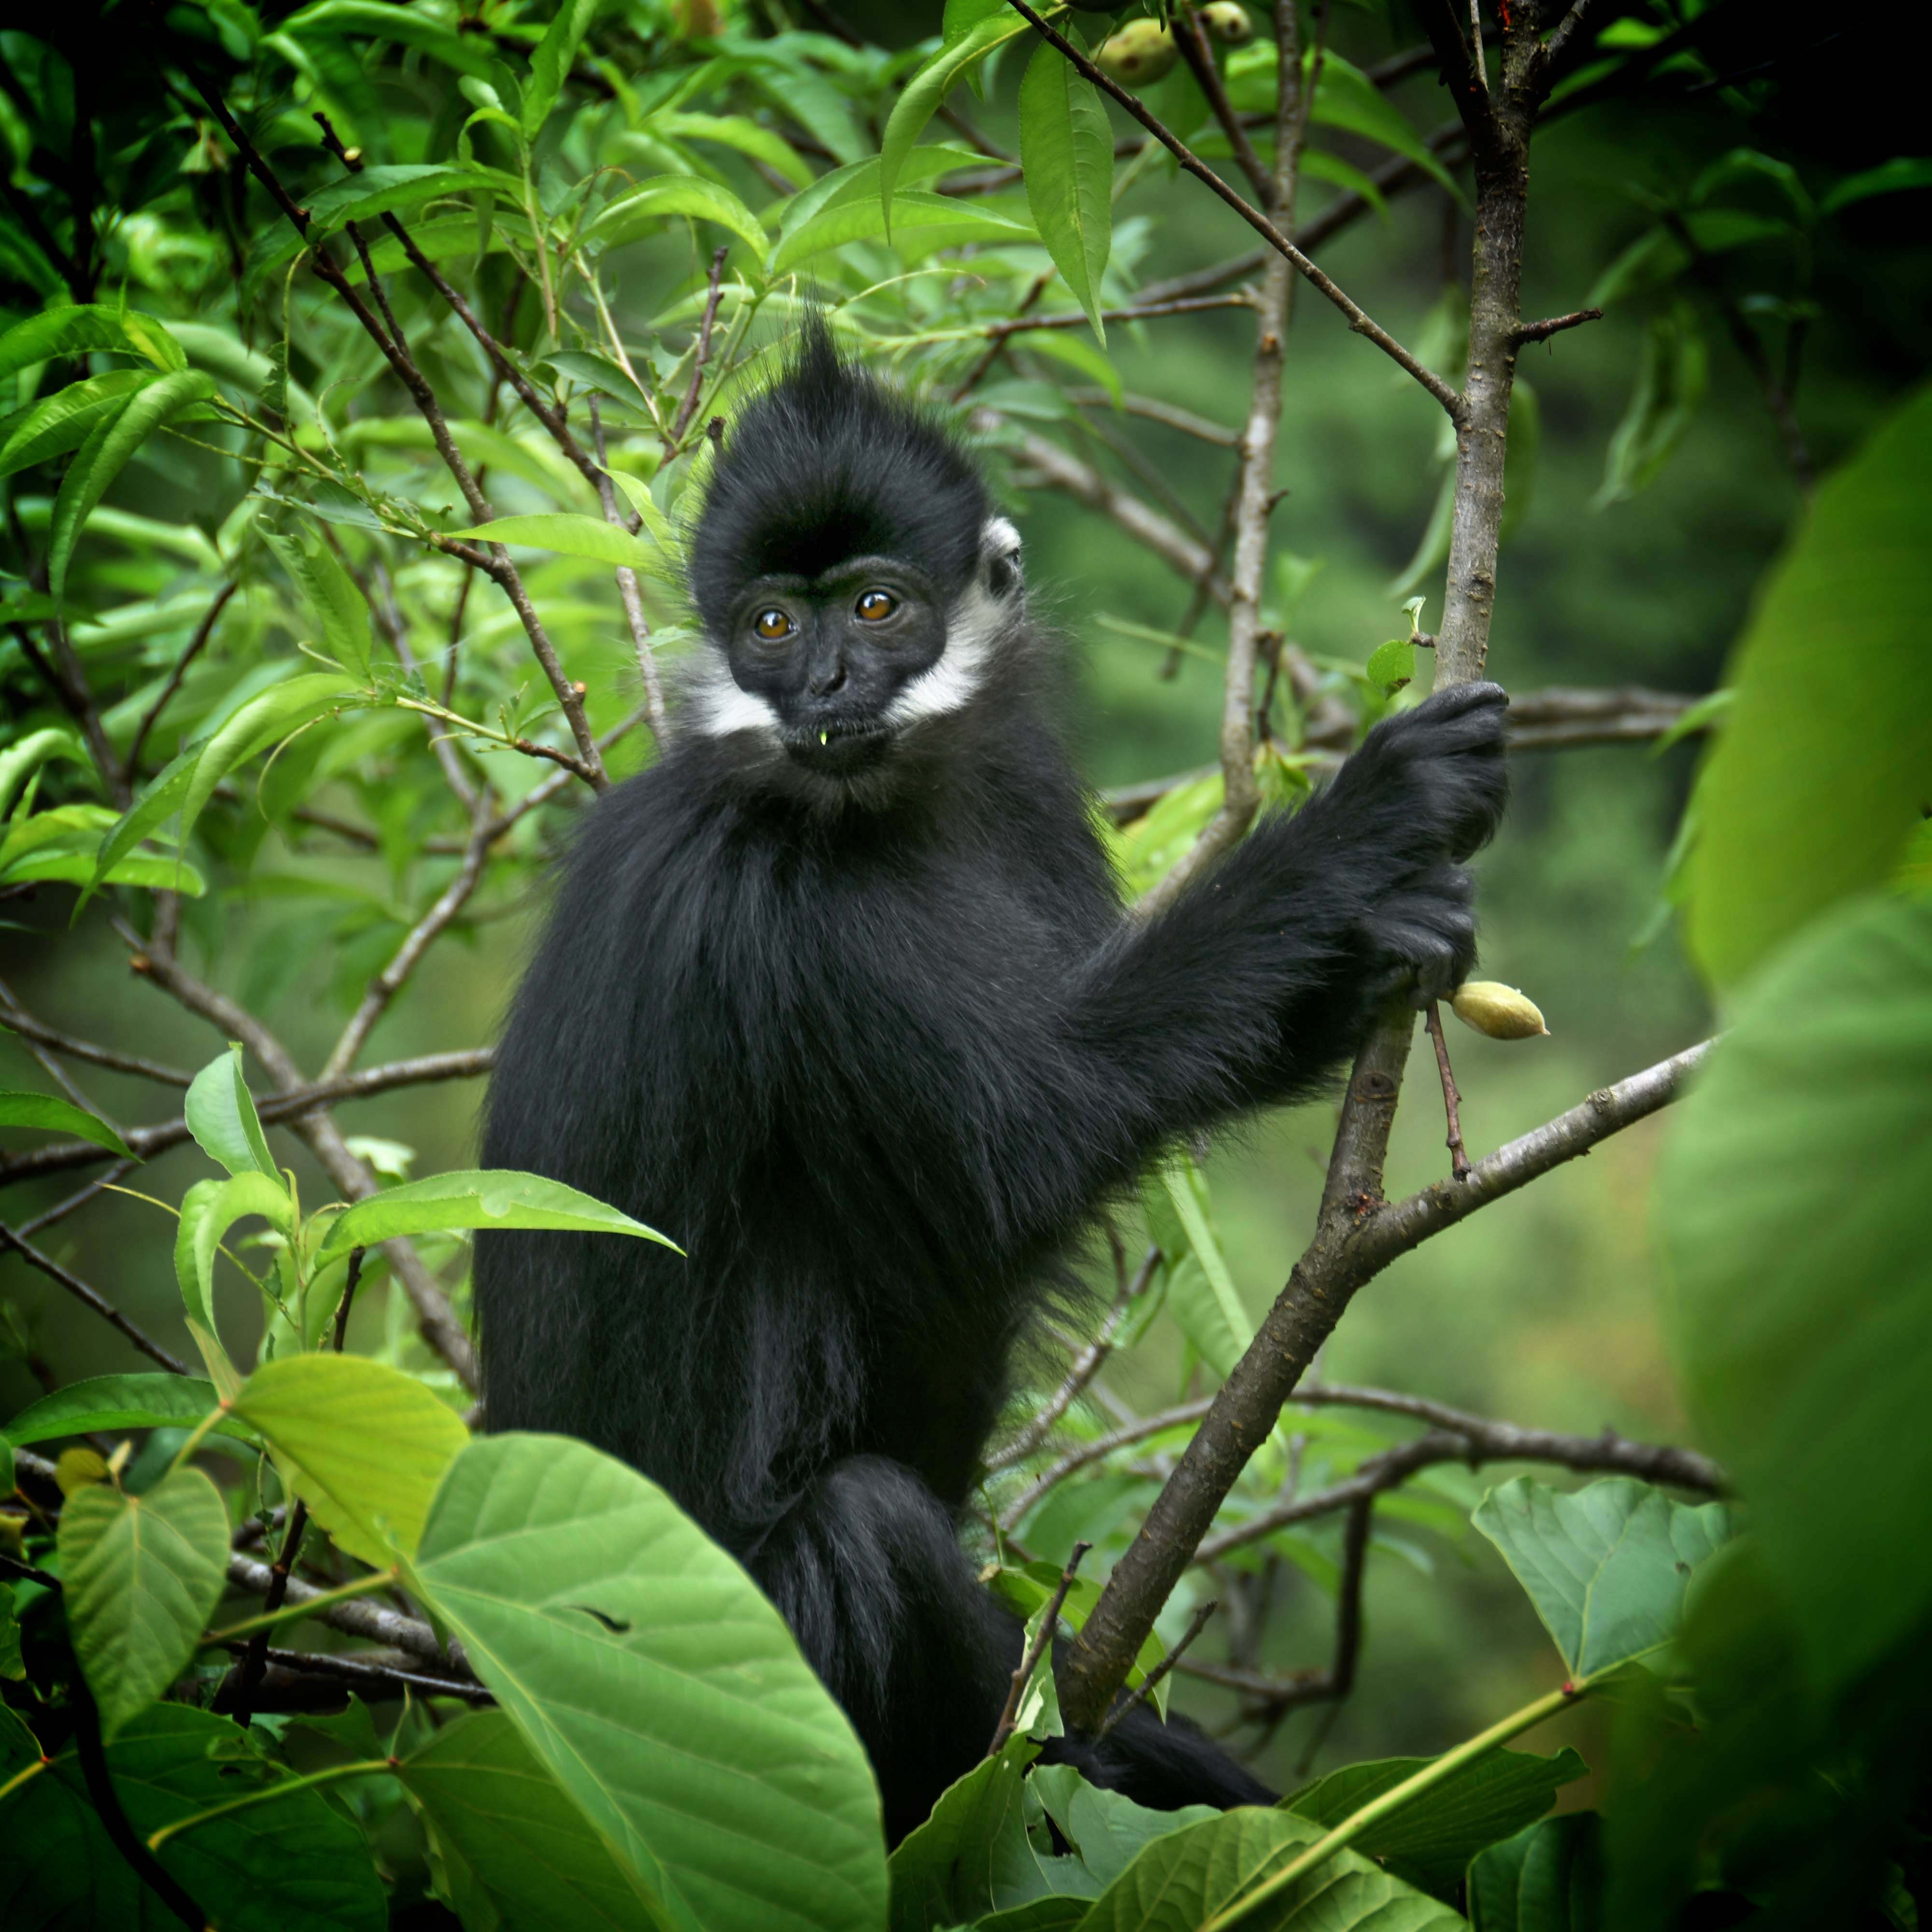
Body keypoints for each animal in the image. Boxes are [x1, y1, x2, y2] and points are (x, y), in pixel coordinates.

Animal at [471, 321, 1507, 1839]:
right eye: (771, 626)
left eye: (877, 607)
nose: (828, 689)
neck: (879, 805)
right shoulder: (770, 895)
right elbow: (1023, 1149)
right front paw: (1369, 825)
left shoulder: (1020, 789)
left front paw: (1386, 943)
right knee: (863, 1531)